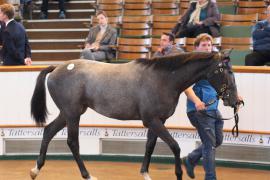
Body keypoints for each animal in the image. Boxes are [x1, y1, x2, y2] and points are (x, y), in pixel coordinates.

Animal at [30, 50, 239, 180]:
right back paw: (87, 175)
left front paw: (145, 173)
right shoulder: (152, 120)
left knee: (48, 131)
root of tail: (57, 68)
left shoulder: (158, 121)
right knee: (72, 142)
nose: (235, 101)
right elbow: (175, 146)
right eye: (227, 71)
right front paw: (179, 174)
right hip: (73, 114)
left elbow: (150, 146)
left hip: (68, 113)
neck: (163, 79)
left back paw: (35, 170)